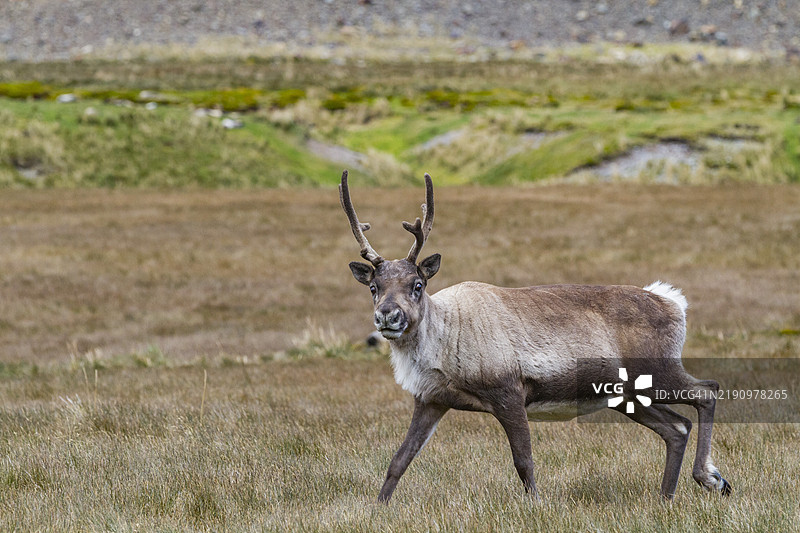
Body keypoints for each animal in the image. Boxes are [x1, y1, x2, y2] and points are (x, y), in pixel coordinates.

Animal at [338, 170, 732, 503]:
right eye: (374, 287)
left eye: (417, 285)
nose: (388, 316)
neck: (443, 340)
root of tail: (673, 302)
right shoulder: (431, 399)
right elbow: (399, 460)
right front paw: (377, 507)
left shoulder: (509, 392)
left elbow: (523, 461)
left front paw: (537, 505)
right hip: (627, 395)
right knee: (677, 427)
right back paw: (666, 496)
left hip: (657, 371)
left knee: (707, 391)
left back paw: (710, 478)